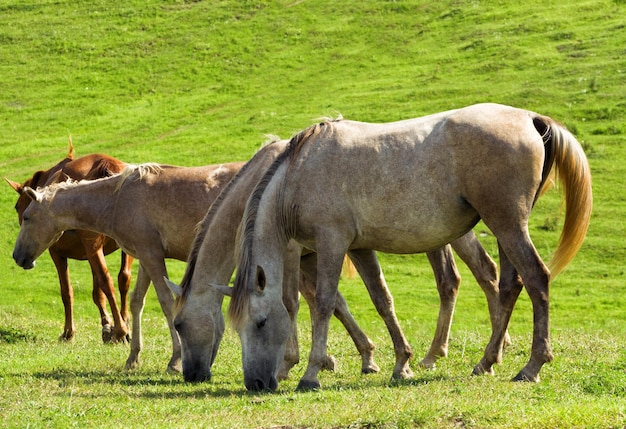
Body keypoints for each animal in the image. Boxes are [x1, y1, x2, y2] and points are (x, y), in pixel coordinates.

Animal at [5, 142, 133, 342]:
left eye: (18, 207)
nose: (20, 257)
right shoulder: (93, 252)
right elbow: (98, 293)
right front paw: (107, 326)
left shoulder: (57, 253)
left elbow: (67, 292)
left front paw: (68, 332)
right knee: (123, 278)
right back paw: (125, 326)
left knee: (108, 280)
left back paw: (121, 330)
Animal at [166, 139, 502, 382]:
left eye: (180, 324)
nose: (192, 376)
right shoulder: (311, 255)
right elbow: (334, 303)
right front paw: (362, 357)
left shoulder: (294, 253)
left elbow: (294, 303)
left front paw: (291, 363)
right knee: (477, 274)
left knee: (466, 276)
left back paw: (457, 353)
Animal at [227, 102, 588, 390]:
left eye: (260, 322)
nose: (255, 383)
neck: (299, 172)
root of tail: (529, 118)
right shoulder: (357, 248)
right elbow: (381, 300)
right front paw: (401, 363)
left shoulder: (330, 244)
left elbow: (323, 304)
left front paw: (311, 372)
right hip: (505, 228)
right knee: (509, 285)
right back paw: (486, 362)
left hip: (507, 225)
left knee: (536, 278)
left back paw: (532, 366)